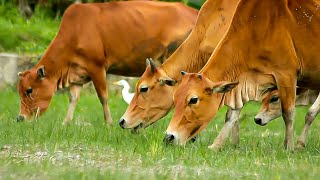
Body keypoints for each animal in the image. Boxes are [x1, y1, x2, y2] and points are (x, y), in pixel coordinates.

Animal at [16, 1, 198, 124]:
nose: (20, 118)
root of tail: (193, 12)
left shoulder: (97, 67)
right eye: (20, 90)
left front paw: (109, 123)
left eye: (29, 90)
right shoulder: (78, 73)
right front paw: (66, 122)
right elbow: (73, 98)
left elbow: (103, 96)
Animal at [164, 0, 320, 150]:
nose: (169, 137)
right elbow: (232, 116)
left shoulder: (286, 75)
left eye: (193, 99)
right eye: (175, 98)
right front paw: (216, 146)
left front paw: (289, 147)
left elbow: (288, 113)